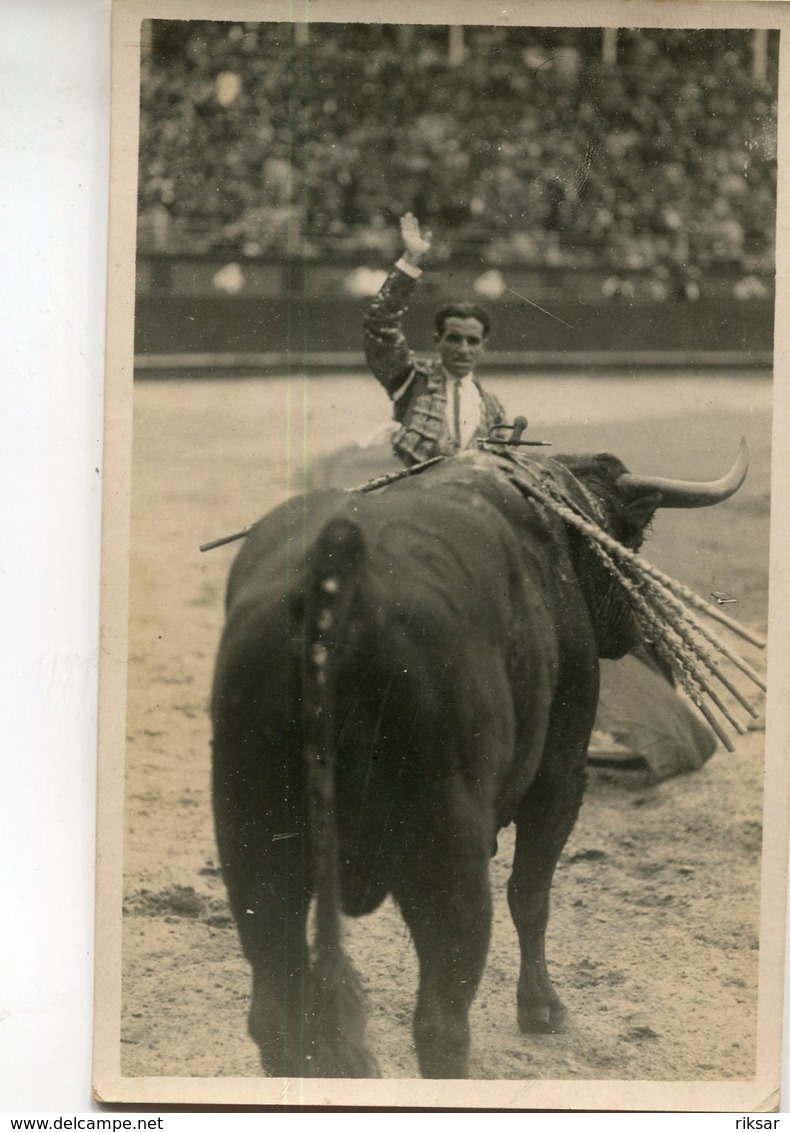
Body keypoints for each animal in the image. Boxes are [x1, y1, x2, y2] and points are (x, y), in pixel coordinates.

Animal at [209, 439, 742, 1077]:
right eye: (632, 536)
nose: (641, 635)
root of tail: (340, 568)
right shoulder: (561, 772)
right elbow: (531, 893)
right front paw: (542, 1010)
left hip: (254, 848)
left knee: (274, 1013)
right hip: (444, 851)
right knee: (442, 1022)